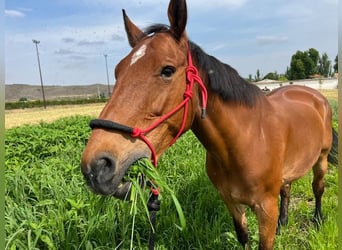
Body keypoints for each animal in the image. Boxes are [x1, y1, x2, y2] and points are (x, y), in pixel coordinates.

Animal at [81, 0, 336, 249]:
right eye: (117, 72)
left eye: (167, 70)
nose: (96, 166)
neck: (247, 141)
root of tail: (314, 95)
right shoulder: (230, 201)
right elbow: (243, 235)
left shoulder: (266, 209)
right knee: (287, 188)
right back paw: (284, 223)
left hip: (321, 160)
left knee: (318, 188)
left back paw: (317, 219)